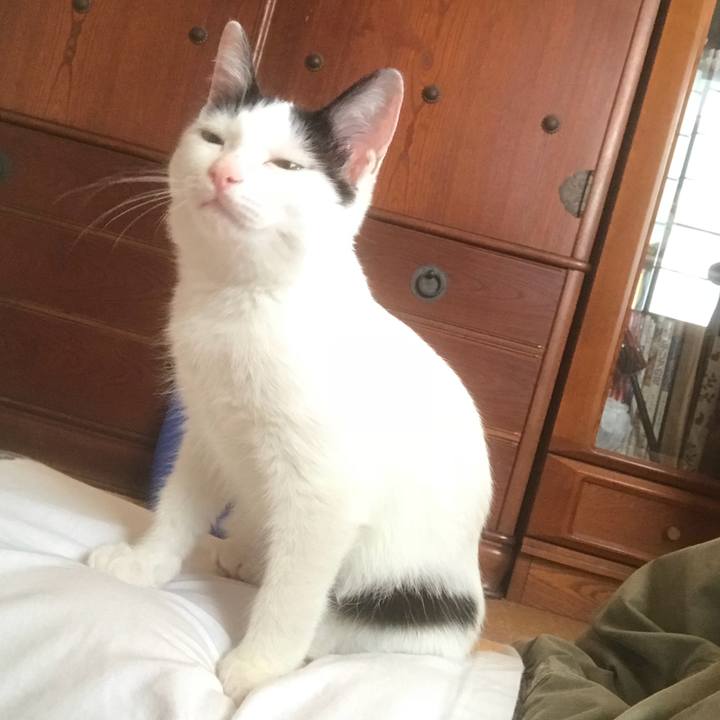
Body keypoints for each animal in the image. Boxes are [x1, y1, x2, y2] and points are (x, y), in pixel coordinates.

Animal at [88, 20, 492, 704]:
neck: (240, 302)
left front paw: (260, 666)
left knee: (378, 633)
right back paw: (246, 553)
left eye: (286, 166)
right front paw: (145, 563)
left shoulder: (326, 492)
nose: (223, 173)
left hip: (412, 595)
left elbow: (296, 589)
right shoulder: (206, 430)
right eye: (214, 139)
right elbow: (179, 505)